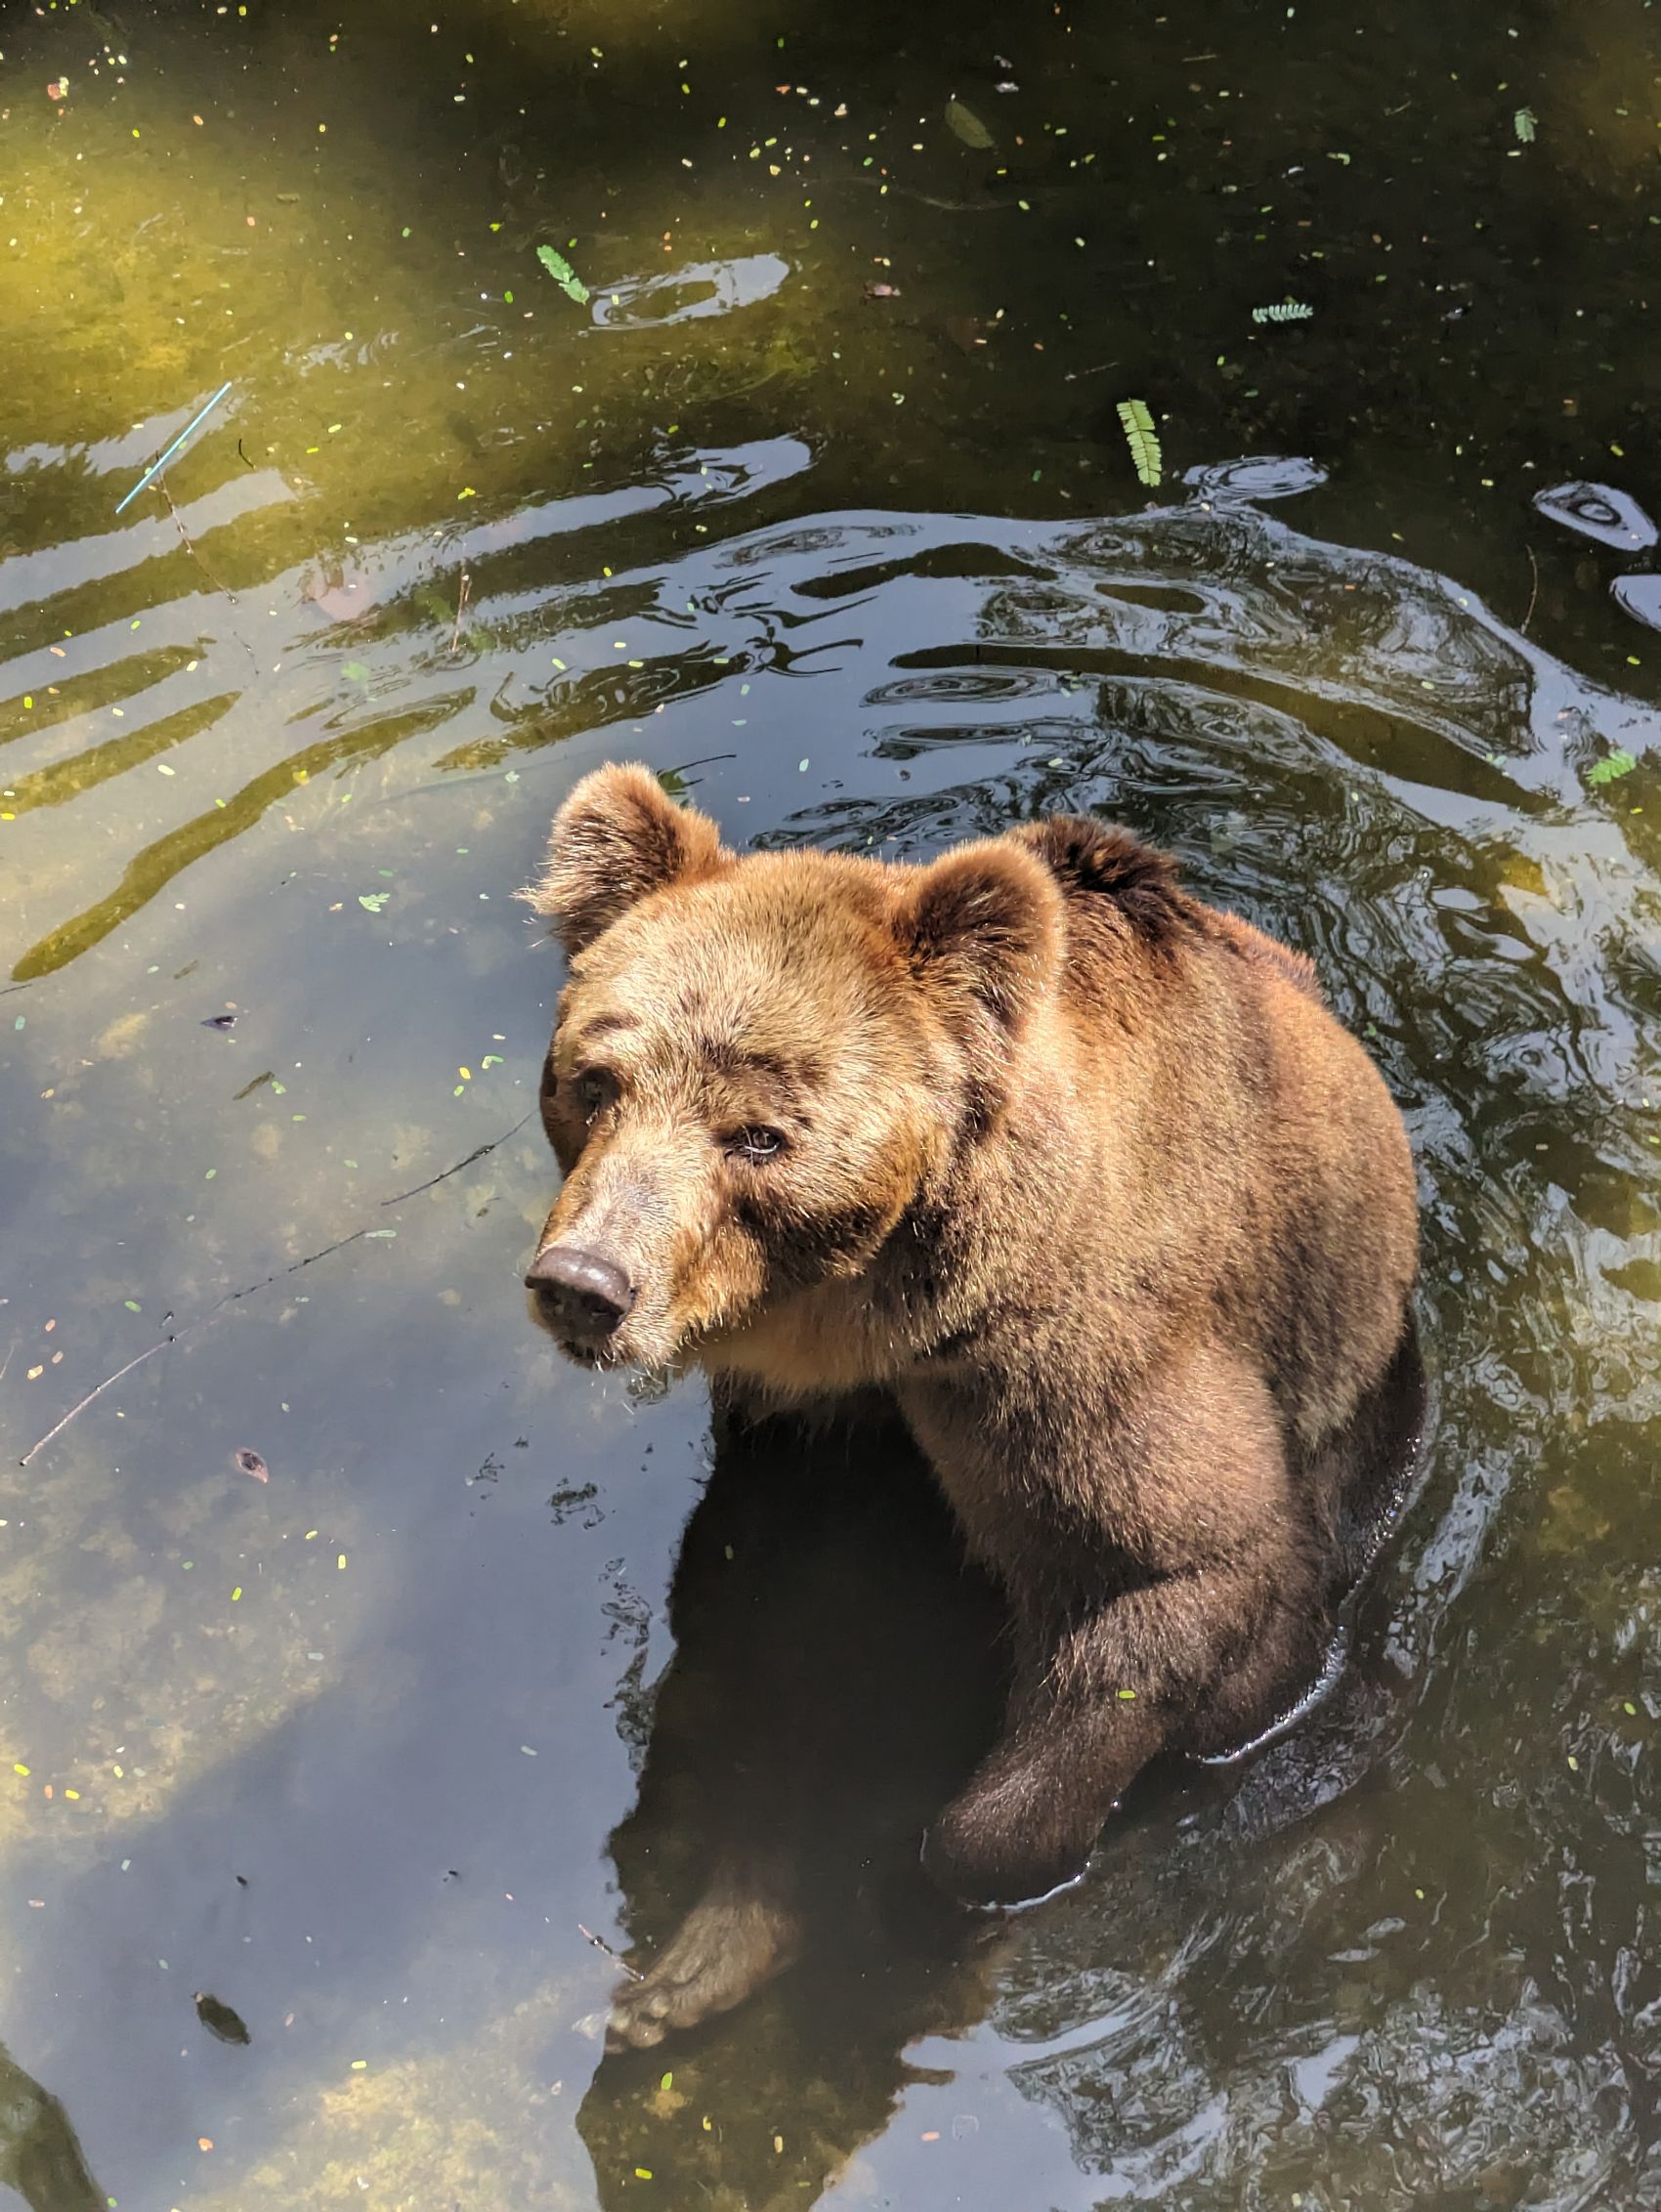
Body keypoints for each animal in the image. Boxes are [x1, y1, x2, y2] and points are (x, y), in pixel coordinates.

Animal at [521, 763, 1419, 2024]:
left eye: (759, 1134)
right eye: (595, 1081)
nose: (586, 1282)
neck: (885, 1313)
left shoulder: (1069, 1363)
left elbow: (1181, 1575)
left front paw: (933, 1889)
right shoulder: (813, 1432)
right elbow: (772, 1613)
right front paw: (733, 1917)